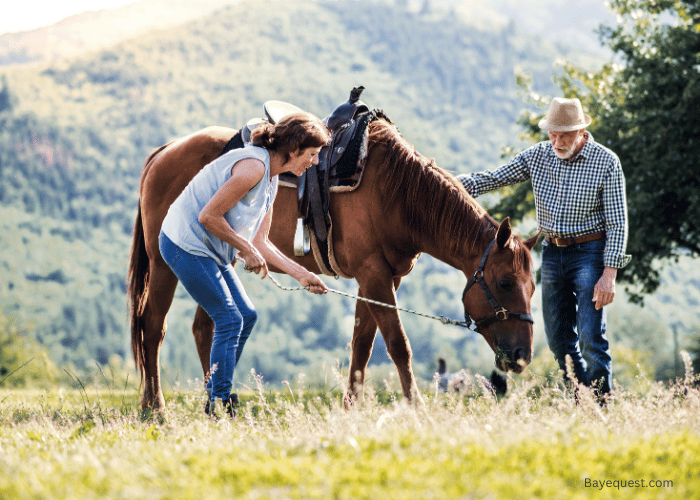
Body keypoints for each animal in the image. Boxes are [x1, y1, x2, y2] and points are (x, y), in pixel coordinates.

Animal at [127, 118, 540, 410]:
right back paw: (155, 407)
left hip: (217, 261)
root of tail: (164, 151)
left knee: (205, 327)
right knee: (153, 327)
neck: (396, 194)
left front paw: (350, 406)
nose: (522, 357)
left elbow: (362, 343)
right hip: (165, 267)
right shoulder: (374, 276)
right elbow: (397, 344)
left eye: (533, 286)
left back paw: (216, 400)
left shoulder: (380, 279)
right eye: (505, 282)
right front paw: (416, 406)